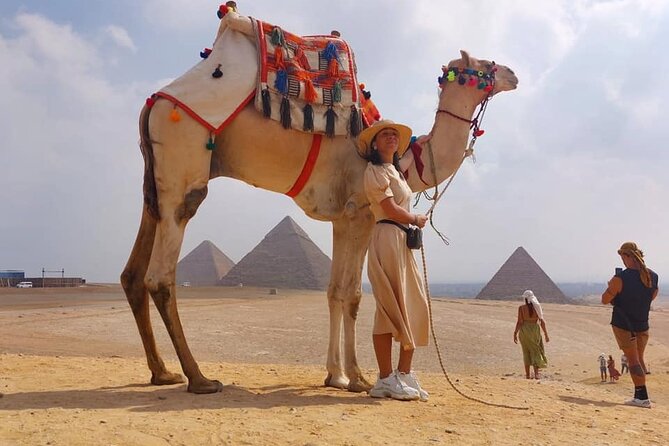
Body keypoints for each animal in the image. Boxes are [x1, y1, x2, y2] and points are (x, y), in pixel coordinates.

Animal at [120, 10, 518, 394]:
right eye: (484, 64)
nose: (512, 74)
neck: (402, 158)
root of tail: (153, 104)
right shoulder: (361, 214)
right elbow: (353, 295)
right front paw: (356, 377)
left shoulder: (341, 218)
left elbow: (333, 292)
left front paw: (335, 376)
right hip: (184, 162)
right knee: (161, 273)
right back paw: (199, 379)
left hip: (155, 184)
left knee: (134, 272)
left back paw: (163, 373)